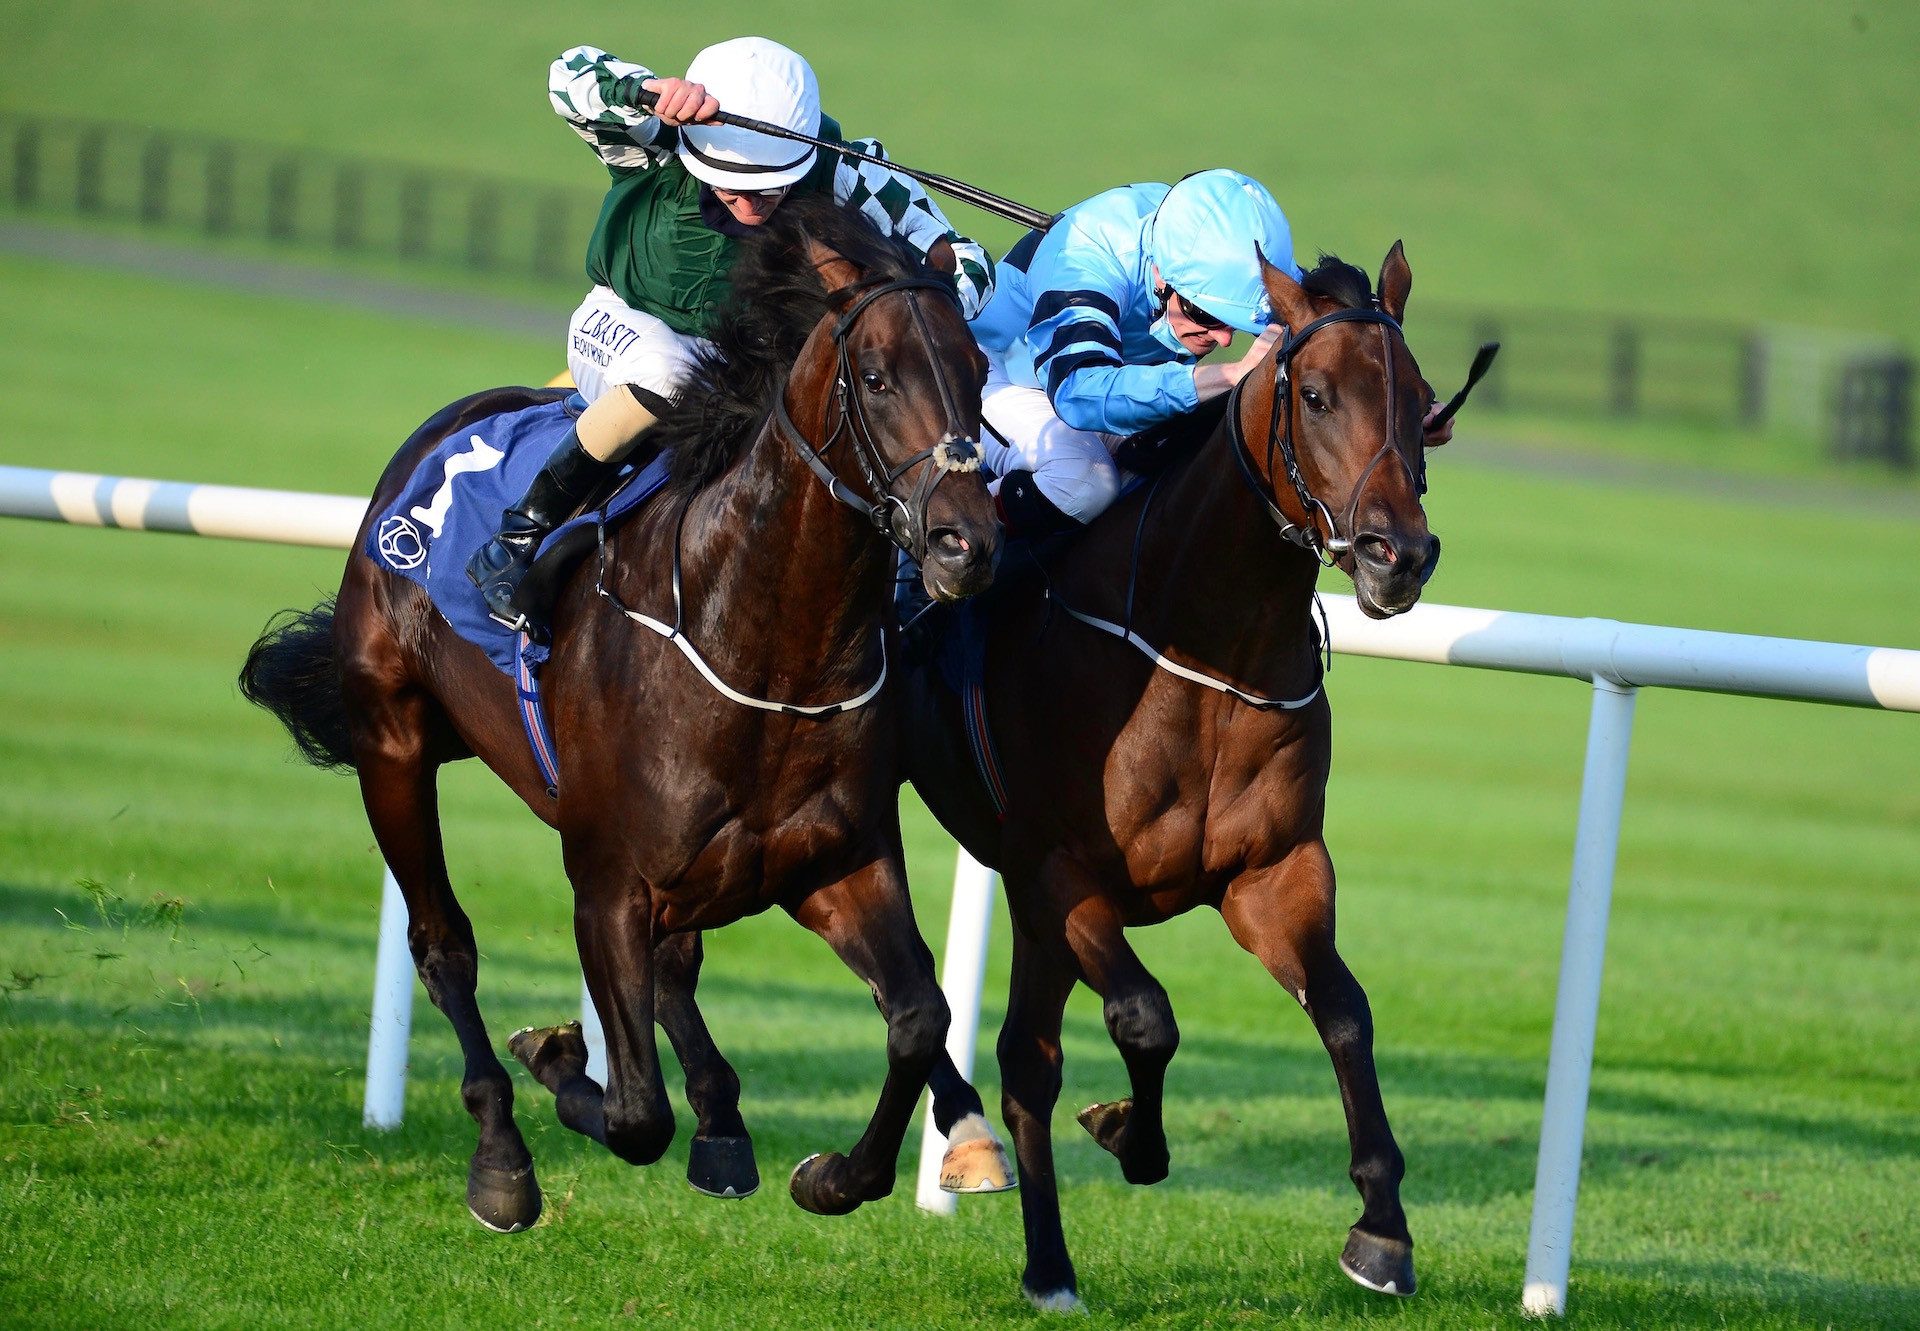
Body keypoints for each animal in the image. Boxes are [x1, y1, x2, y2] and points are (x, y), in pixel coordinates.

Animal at [245, 199, 1013, 1236]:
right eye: (878, 376)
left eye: (977, 374)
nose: (966, 543)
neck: (762, 646)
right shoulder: (605, 879)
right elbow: (634, 1111)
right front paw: (555, 1058)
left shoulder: (837, 860)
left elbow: (918, 1012)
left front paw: (837, 1173)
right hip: (392, 745)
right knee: (445, 947)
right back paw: (503, 1152)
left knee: (679, 965)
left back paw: (726, 1122)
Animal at [898, 243, 1443, 1306]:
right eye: (1318, 394)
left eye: (1426, 399)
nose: (1399, 555)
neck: (1204, 655)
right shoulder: (1059, 872)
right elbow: (1146, 1016)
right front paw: (1130, 1135)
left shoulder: (1272, 871)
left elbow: (1346, 1015)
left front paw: (1382, 1229)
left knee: (1025, 1059)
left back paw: (1044, 1256)